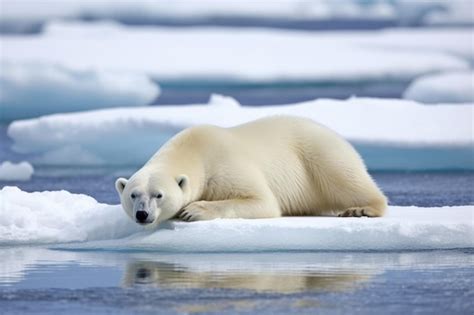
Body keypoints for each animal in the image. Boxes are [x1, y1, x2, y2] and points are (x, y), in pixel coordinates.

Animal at [116, 117, 386, 226]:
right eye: (133, 195)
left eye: (159, 195)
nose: (142, 214)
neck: (194, 149)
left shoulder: (224, 163)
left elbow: (261, 200)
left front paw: (194, 210)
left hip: (318, 153)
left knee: (344, 177)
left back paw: (362, 209)